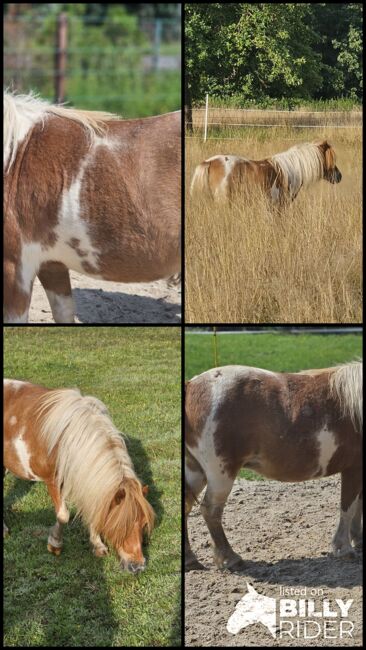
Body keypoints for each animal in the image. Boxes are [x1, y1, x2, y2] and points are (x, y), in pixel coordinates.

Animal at [4, 380, 156, 572]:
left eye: (143, 524)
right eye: (121, 526)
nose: (137, 567)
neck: (69, 439)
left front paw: (97, 545)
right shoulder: (53, 481)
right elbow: (63, 515)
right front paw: (55, 544)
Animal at [186, 360, 364, 568]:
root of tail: (191, 385)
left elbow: (358, 505)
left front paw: (358, 539)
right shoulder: (353, 469)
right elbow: (348, 508)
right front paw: (344, 548)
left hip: (196, 470)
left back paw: (190, 559)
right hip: (220, 473)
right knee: (211, 510)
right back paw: (230, 557)